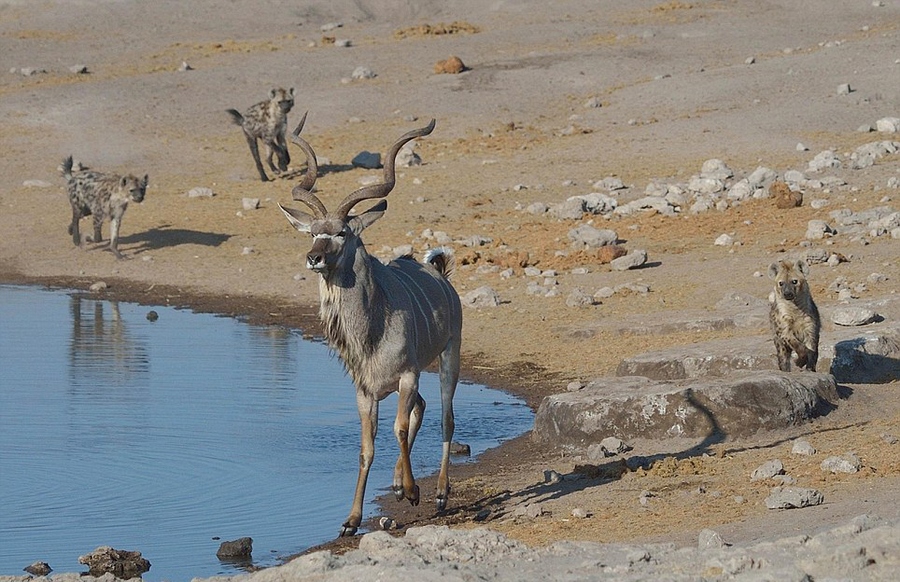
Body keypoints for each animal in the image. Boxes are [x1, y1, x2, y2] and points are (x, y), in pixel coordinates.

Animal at [280, 118, 464, 540]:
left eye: (342, 233)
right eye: (312, 232)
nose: (314, 257)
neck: (371, 331)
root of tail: (441, 275)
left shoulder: (408, 374)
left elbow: (398, 428)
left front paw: (413, 491)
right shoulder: (365, 391)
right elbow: (367, 447)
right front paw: (351, 520)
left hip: (450, 354)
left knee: (445, 417)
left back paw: (439, 493)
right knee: (423, 408)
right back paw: (397, 484)